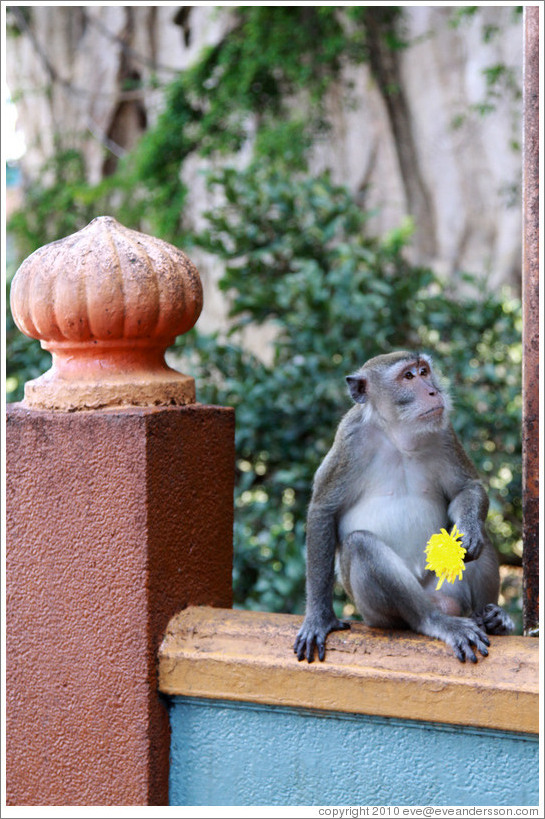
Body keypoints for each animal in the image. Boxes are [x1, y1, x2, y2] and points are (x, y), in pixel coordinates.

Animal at [294, 350, 510, 664]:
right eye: (408, 376)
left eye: (424, 371)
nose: (433, 391)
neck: (398, 436)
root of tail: (441, 602)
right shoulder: (349, 438)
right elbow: (324, 510)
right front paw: (319, 618)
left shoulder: (444, 432)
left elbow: (467, 489)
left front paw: (468, 530)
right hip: (379, 614)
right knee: (362, 546)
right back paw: (438, 622)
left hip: (447, 585)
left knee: (478, 541)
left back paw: (491, 617)